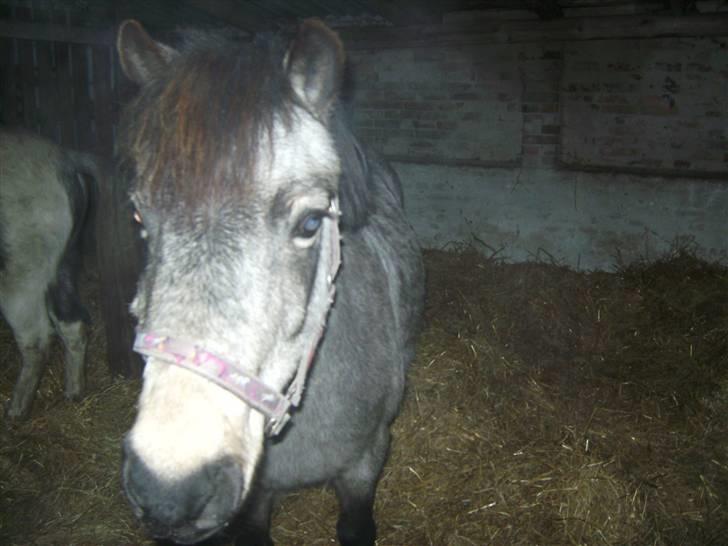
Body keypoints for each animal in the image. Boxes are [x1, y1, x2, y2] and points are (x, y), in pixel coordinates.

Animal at [0, 128, 97, 419]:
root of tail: (65, 161)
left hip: (21, 266)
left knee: (37, 338)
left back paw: (15, 412)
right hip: (64, 259)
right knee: (72, 320)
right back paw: (74, 394)